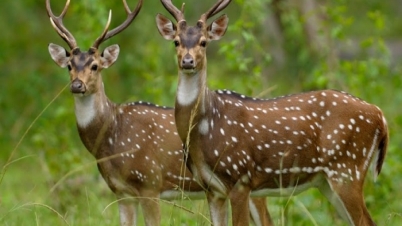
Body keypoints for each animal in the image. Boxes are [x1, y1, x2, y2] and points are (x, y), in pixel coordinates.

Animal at [46, 0, 274, 226]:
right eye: (69, 66)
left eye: (95, 66)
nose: (77, 85)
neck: (111, 137)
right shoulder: (121, 192)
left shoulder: (149, 182)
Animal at [155, 0, 388, 225]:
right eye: (176, 41)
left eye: (204, 42)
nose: (187, 61)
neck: (203, 131)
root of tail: (380, 116)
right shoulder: (212, 189)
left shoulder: (240, 178)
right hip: (327, 181)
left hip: (347, 169)